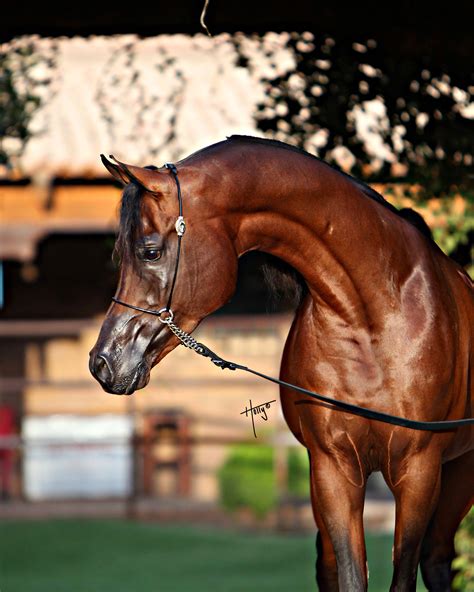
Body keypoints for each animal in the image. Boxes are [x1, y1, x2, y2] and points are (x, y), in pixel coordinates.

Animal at [90, 136, 474, 588]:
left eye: (149, 252)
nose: (103, 362)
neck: (374, 314)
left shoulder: (418, 471)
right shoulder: (332, 469)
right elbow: (349, 574)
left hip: (457, 476)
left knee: (436, 558)